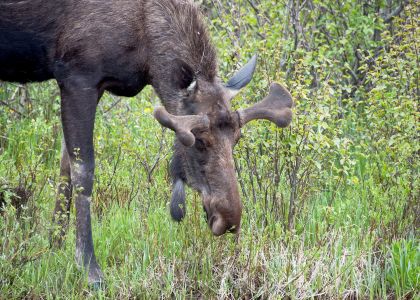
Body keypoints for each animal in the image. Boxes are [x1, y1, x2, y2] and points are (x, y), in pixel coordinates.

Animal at [0, 0, 292, 284]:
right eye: (198, 141)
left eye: (237, 139)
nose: (229, 219)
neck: (146, 45)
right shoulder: (76, 75)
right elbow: (84, 170)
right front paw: (89, 268)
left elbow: (64, 167)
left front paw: (54, 245)